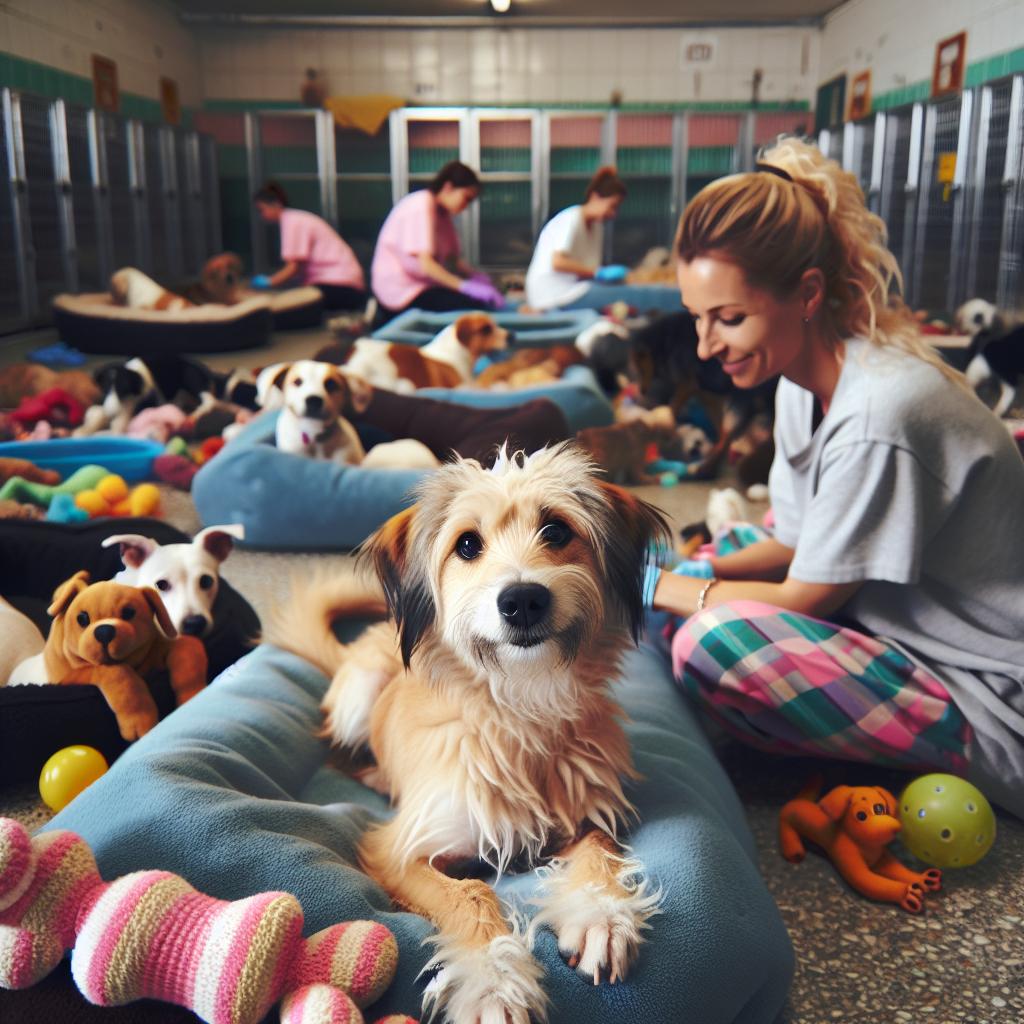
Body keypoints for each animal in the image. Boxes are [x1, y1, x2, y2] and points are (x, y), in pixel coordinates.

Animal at [43, 569, 207, 745]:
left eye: (129, 612)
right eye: (82, 618)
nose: (104, 632)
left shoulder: (159, 652)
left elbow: (188, 648)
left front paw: (193, 695)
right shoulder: (70, 679)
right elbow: (119, 674)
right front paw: (139, 719)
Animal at [264, 444, 667, 1024]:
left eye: (556, 530)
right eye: (468, 545)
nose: (522, 599)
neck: (520, 706)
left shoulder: (586, 814)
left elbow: (598, 850)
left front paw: (600, 913)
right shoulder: (400, 851)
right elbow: (470, 894)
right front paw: (494, 980)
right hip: (360, 692)